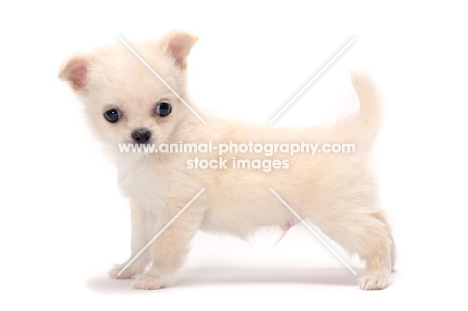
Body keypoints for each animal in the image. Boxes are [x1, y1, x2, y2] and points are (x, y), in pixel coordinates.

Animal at [58, 30, 394, 292]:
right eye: (112, 114)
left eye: (164, 108)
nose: (141, 135)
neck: (165, 146)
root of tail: (351, 133)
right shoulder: (143, 209)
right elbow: (139, 244)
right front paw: (128, 269)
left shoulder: (177, 211)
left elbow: (164, 248)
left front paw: (156, 278)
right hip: (355, 207)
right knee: (384, 225)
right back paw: (391, 267)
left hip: (337, 215)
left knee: (375, 237)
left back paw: (377, 277)